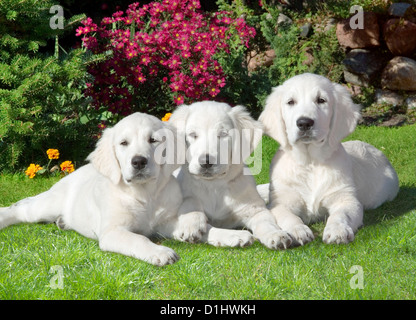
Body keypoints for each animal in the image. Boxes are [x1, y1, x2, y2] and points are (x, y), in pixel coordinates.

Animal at [0, 112, 197, 264]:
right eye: (124, 143)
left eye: (153, 140)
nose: (139, 162)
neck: (144, 193)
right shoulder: (112, 232)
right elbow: (139, 239)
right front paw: (161, 252)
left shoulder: (163, 221)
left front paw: (195, 230)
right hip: (47, 206)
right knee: (21, 209)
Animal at [169, 101, 292, 249]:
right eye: (193, 134)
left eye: (223, 134)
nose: (206, 162)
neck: (214, 186)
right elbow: (190, 199)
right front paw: (191, 224)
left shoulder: (254, 209)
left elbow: (266, 222)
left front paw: (276, 234)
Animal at [260, 73, 400, 245]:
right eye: (290, 102)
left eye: (321, 100)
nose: (304, 123)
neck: (310, 163)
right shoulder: (281, 202)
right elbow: (289, 217)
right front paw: (298, 230)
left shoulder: (345, 198)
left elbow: (340, 215)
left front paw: (337, 231)